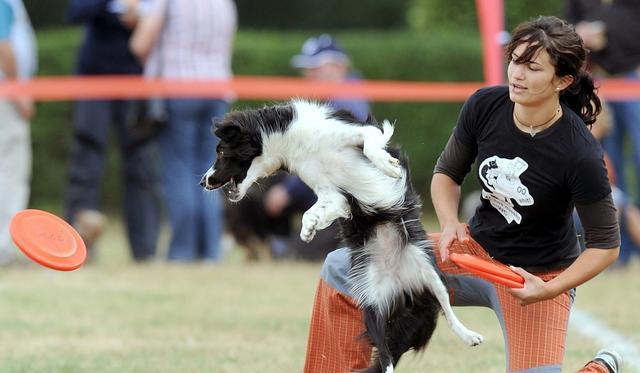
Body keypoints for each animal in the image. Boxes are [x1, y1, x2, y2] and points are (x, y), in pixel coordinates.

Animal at [200, 99, 480, 372]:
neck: (293, 142)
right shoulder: (331, 193)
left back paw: (470, 335)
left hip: (432, 274)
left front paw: (388, 166)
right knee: (386, 357)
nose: (204, 181)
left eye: (221, 152)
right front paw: (309, 229)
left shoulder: (358, 133)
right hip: (372, 304)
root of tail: (402, 287)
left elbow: (371, 144)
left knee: (447, 309)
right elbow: (312, 212)